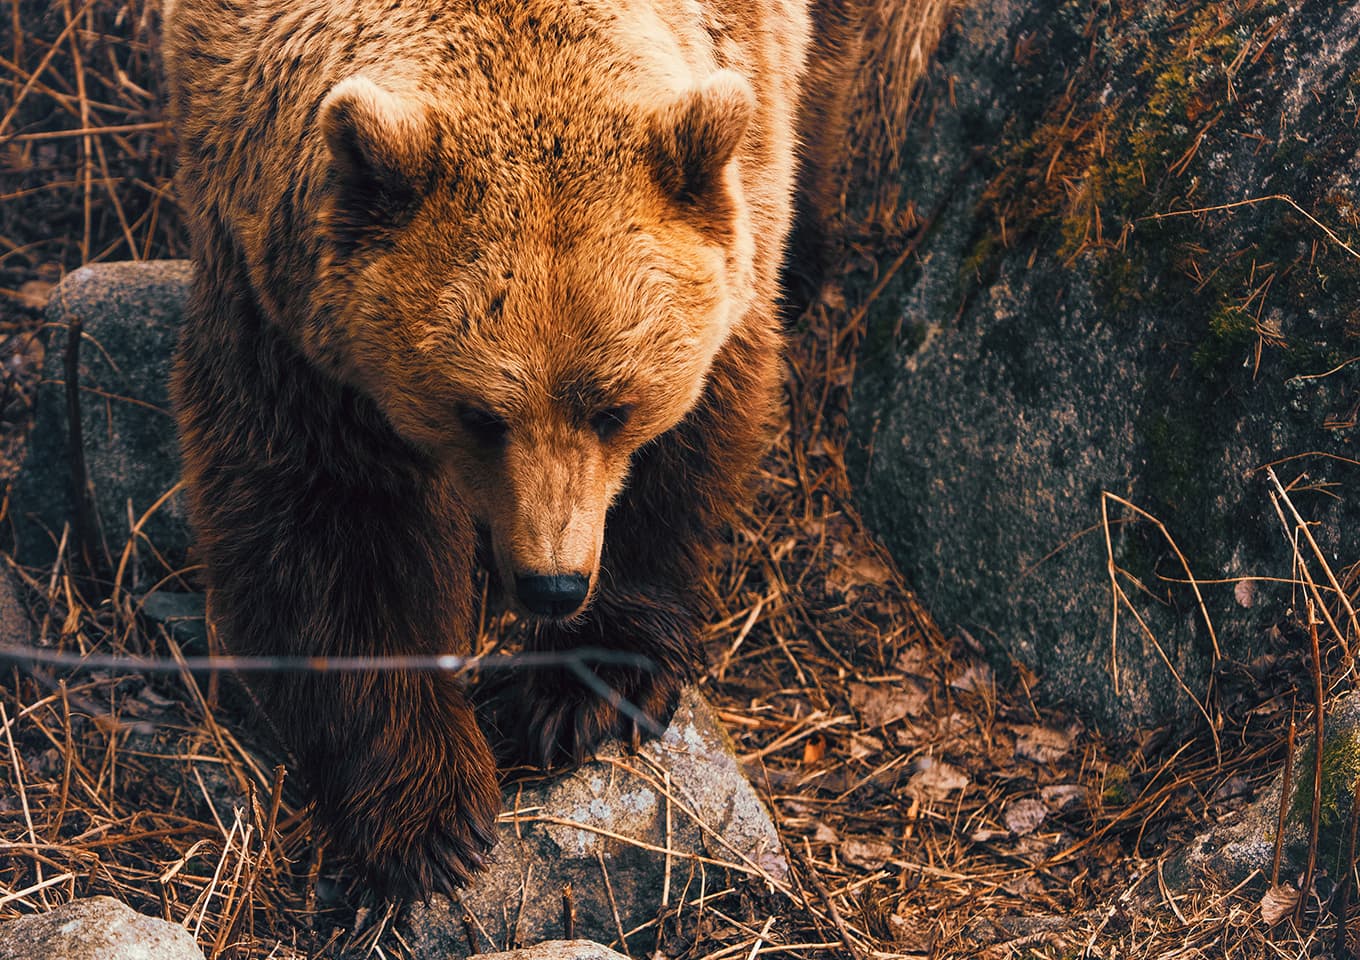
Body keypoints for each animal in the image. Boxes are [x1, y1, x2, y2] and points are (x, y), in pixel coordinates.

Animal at [162, 0, 858, 898]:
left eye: (616, 406)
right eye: (478, 414)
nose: (552, 582)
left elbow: (686, 449)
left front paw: (586, 688)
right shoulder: (288, 316)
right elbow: (331, 525)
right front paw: (432, 814)